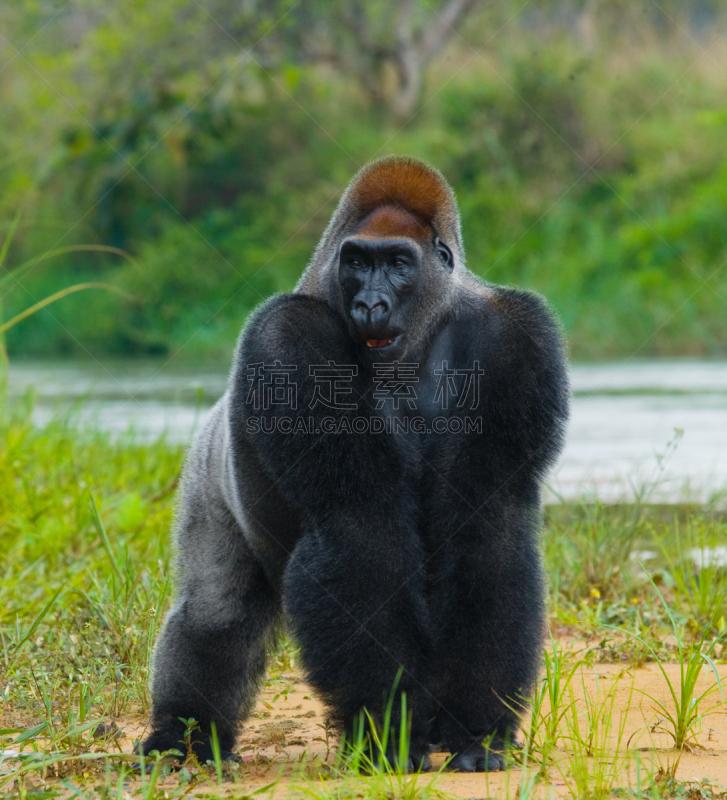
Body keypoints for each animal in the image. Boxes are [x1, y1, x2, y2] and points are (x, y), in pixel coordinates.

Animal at [141, 153, 568, 772]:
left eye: (397, 264)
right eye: (358, 264)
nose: (370, 305)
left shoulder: (515, 333)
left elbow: (488, 528)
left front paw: (476, 729)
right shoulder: (286, 337)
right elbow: (360, 530)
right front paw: (387, 731)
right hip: (207, 470)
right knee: (216, 610)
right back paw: (183, 737)